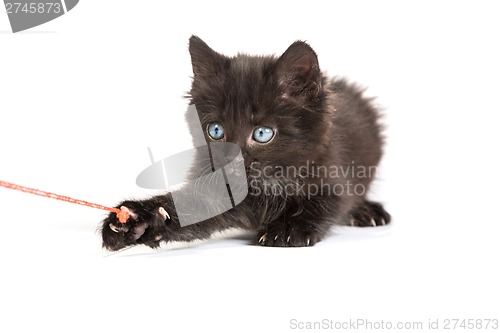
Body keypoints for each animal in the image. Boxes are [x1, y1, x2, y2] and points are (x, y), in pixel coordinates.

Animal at [101, 35, 390, 249]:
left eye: (262, 134)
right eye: (216, 130)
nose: (231, 164)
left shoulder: (332, 174)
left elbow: (327, 204)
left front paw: (288, 228)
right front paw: (138, 221)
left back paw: (368, 212)